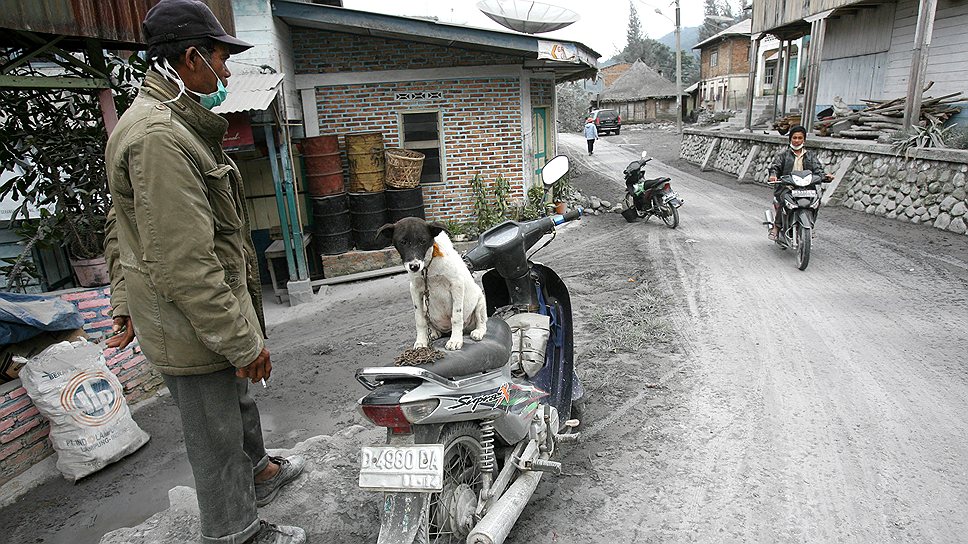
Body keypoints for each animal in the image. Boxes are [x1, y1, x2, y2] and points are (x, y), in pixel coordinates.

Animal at [376, 218, 488, 350]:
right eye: (403, 242)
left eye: (423, 241)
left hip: (480, 302)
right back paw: (434, 332)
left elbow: (456, 317)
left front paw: (455, 340)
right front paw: (421, 341)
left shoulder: (457, 284)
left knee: (482, 322)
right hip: (426, 306)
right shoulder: (415, 289)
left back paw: (478, 331)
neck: (428, 266)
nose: (414, 266)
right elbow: (420, 320)